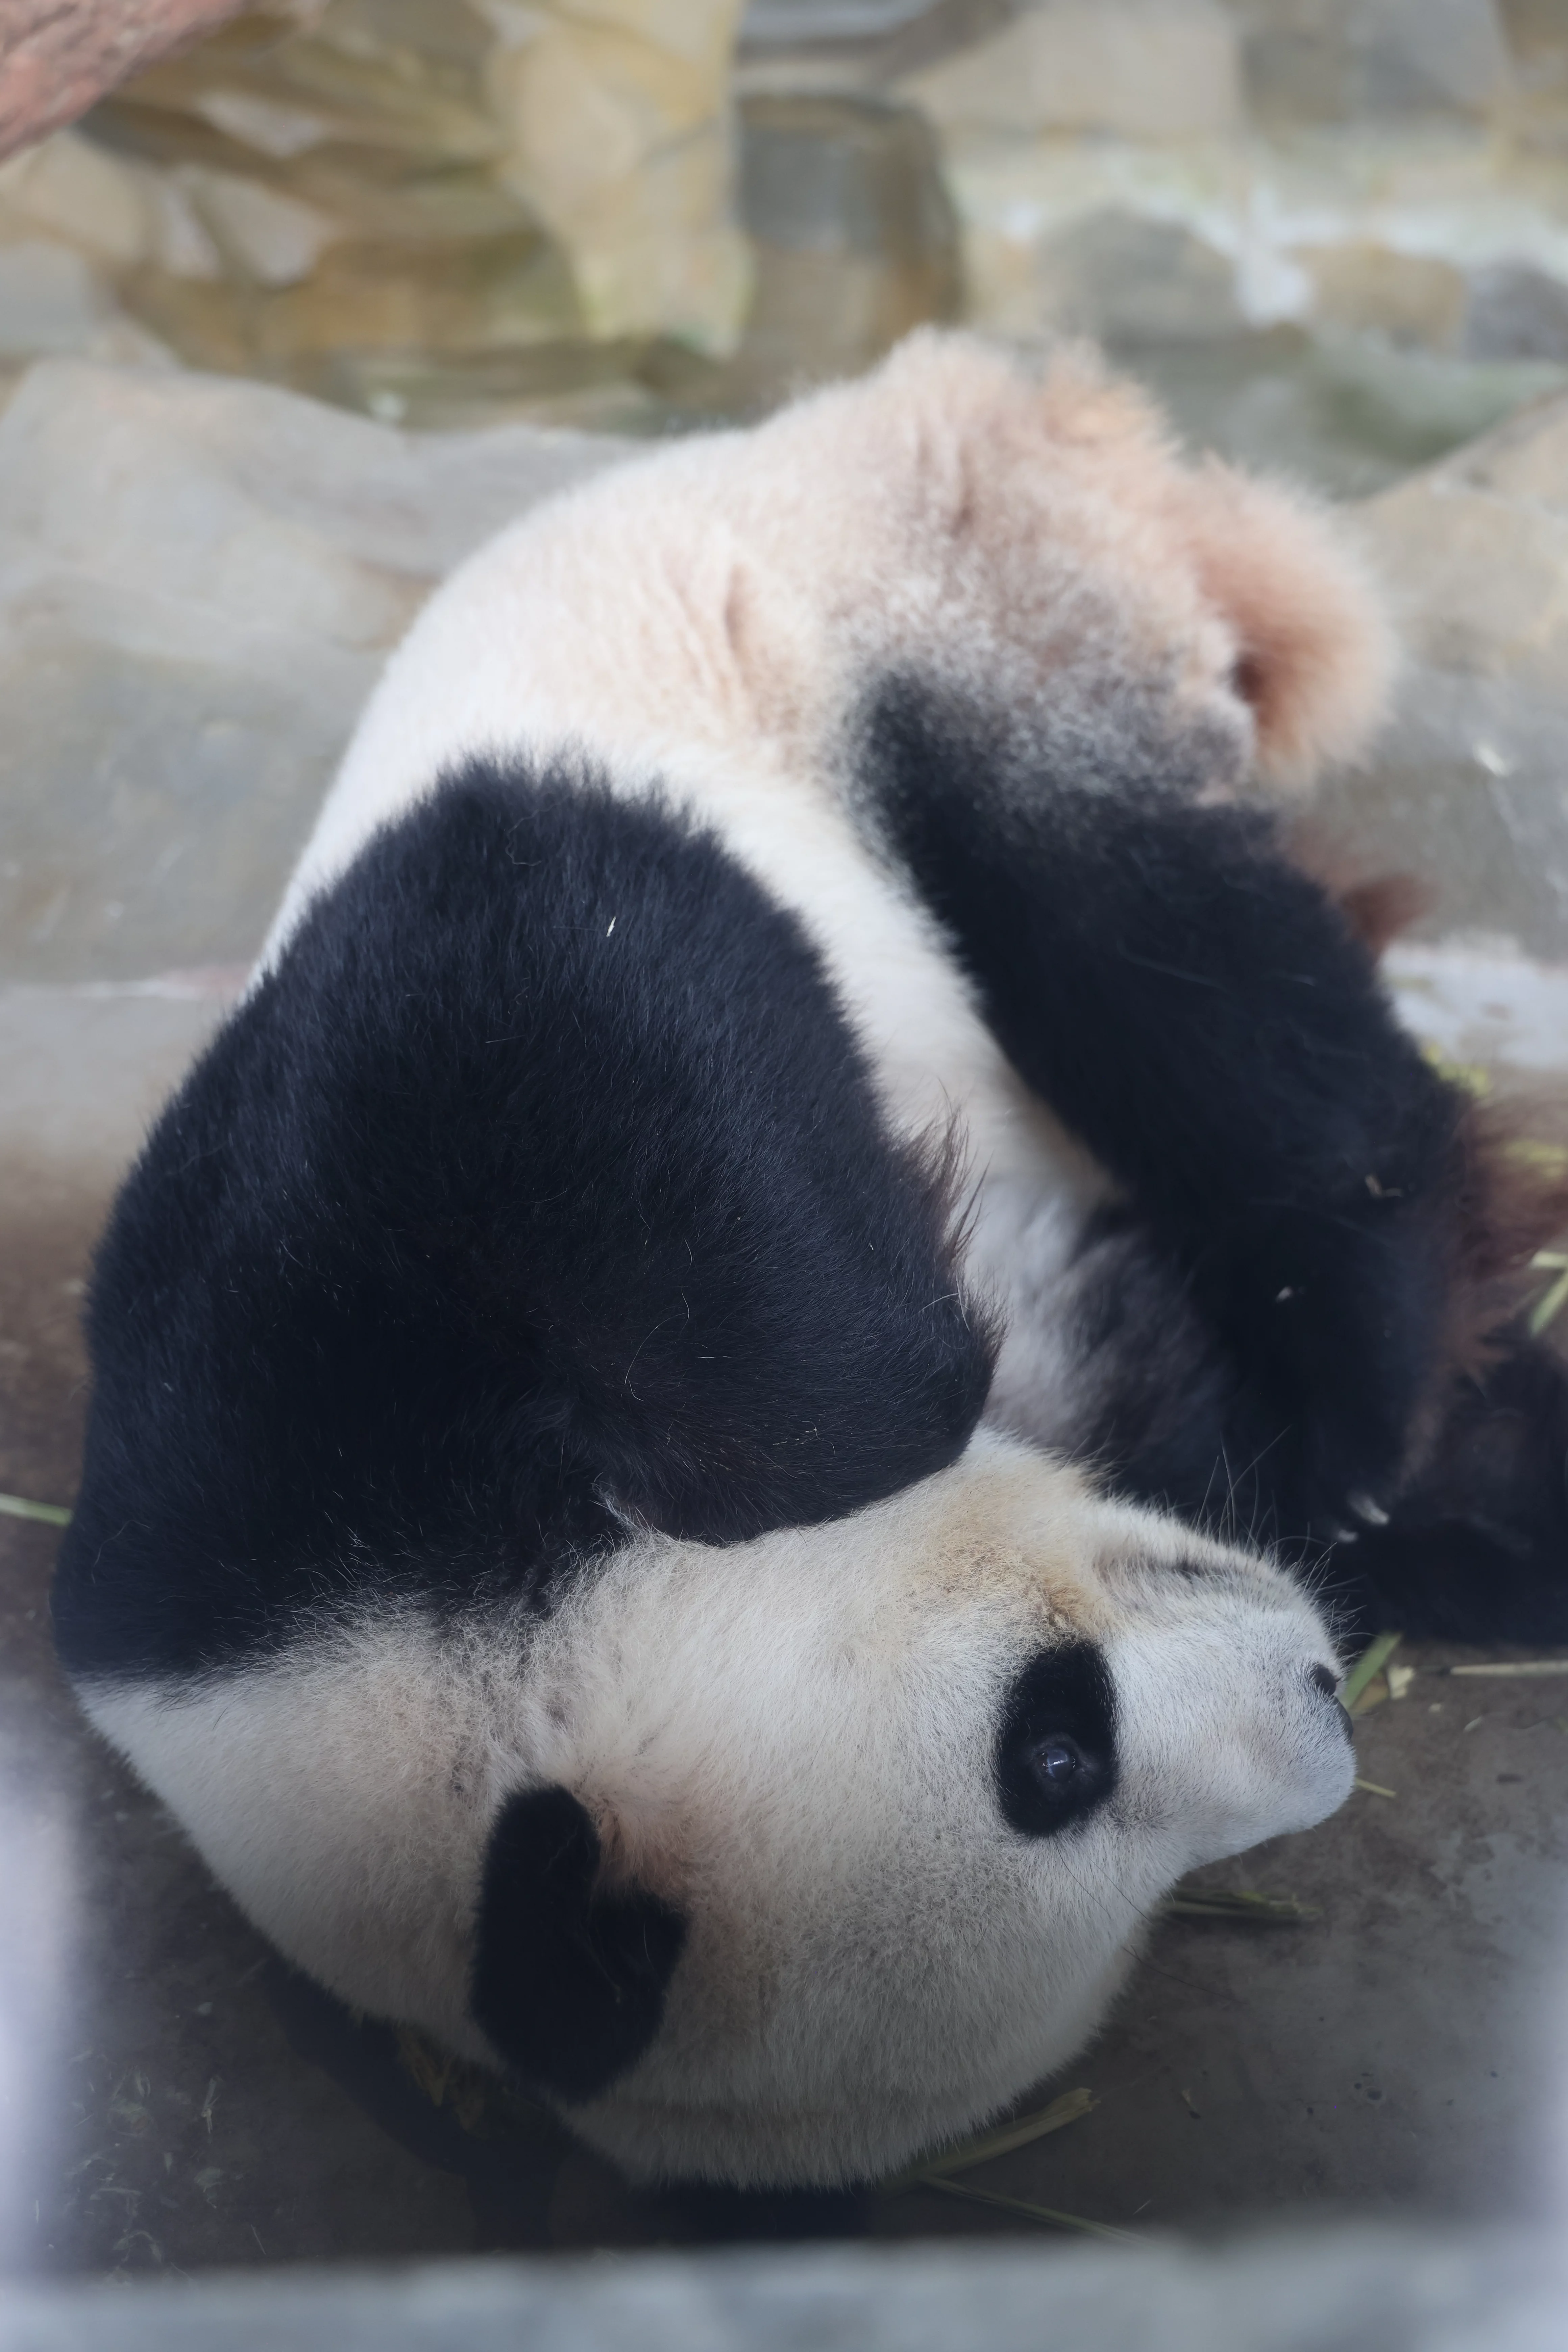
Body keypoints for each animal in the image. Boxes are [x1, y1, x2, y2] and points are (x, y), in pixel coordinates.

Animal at [52, 331, 1568, 2195]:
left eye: (1044, 1743)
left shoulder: (238, 1396)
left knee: (1176, 973)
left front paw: (895, 1361)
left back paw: (1366, 1357)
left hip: (938, 611)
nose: (1317, 1705)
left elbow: (565, 983)